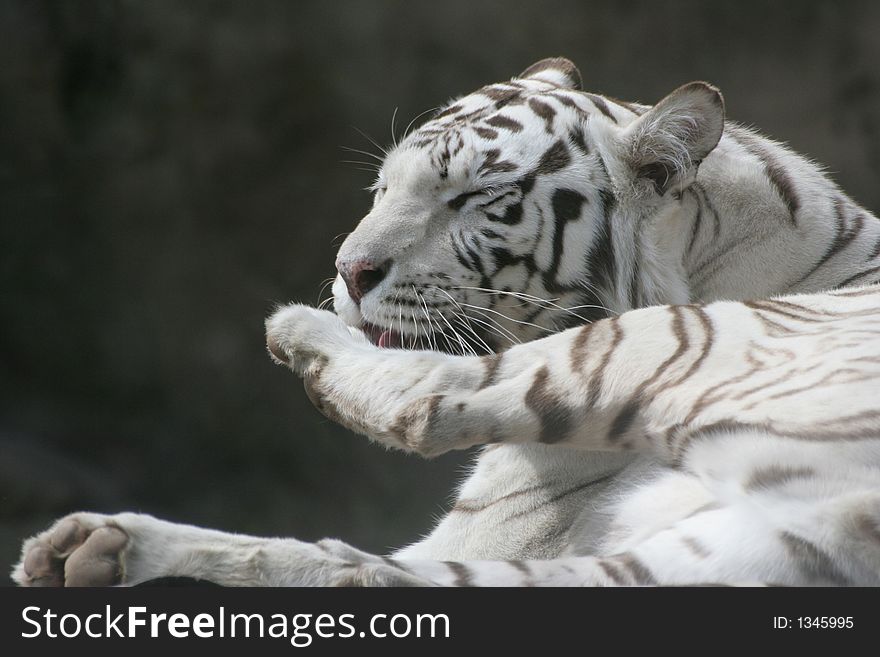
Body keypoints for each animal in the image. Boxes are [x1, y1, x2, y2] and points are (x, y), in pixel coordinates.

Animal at [12, 59, 880, 588]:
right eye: (382, 186)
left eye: (472, 198)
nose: (348, 271)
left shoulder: (506, 517)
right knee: (363, 568)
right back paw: (90, 548)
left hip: (663, 347)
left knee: (424, 408)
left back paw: (295, 333)